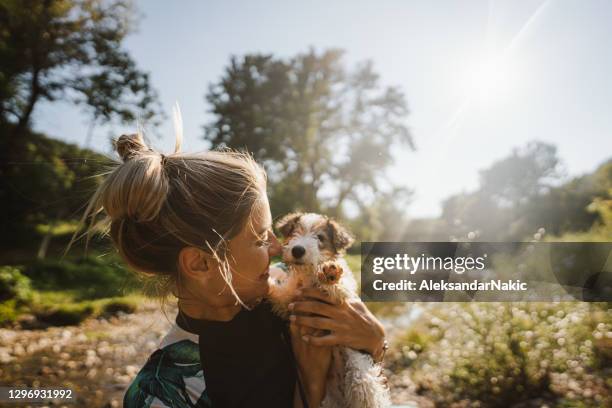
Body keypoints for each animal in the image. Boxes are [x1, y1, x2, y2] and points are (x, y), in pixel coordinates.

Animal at [268, 214, 392, 408]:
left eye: (320, 237)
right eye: (295, 232)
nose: (297, 250)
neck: (309, 274)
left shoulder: (345, 292)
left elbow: (339, 286)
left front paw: (329, 273)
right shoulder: (288, 299)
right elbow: (280, 293)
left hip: (359, 371)